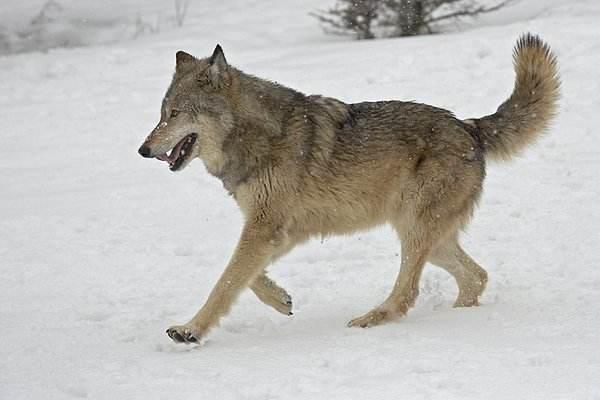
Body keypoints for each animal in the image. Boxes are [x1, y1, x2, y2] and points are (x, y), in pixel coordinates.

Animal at [138, 33, 560, 344]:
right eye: (161, 114)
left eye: (174, 114)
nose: (143, 150)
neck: (256, 135)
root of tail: (471, 127)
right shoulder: (278, 230)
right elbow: (247, 277)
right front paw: (281, 300)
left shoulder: (264, 228)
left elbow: (225, 283)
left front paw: (190, 330)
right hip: (429, 236)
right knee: (477, 276)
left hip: (414, 230)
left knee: (408, 293)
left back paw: (371, 319)